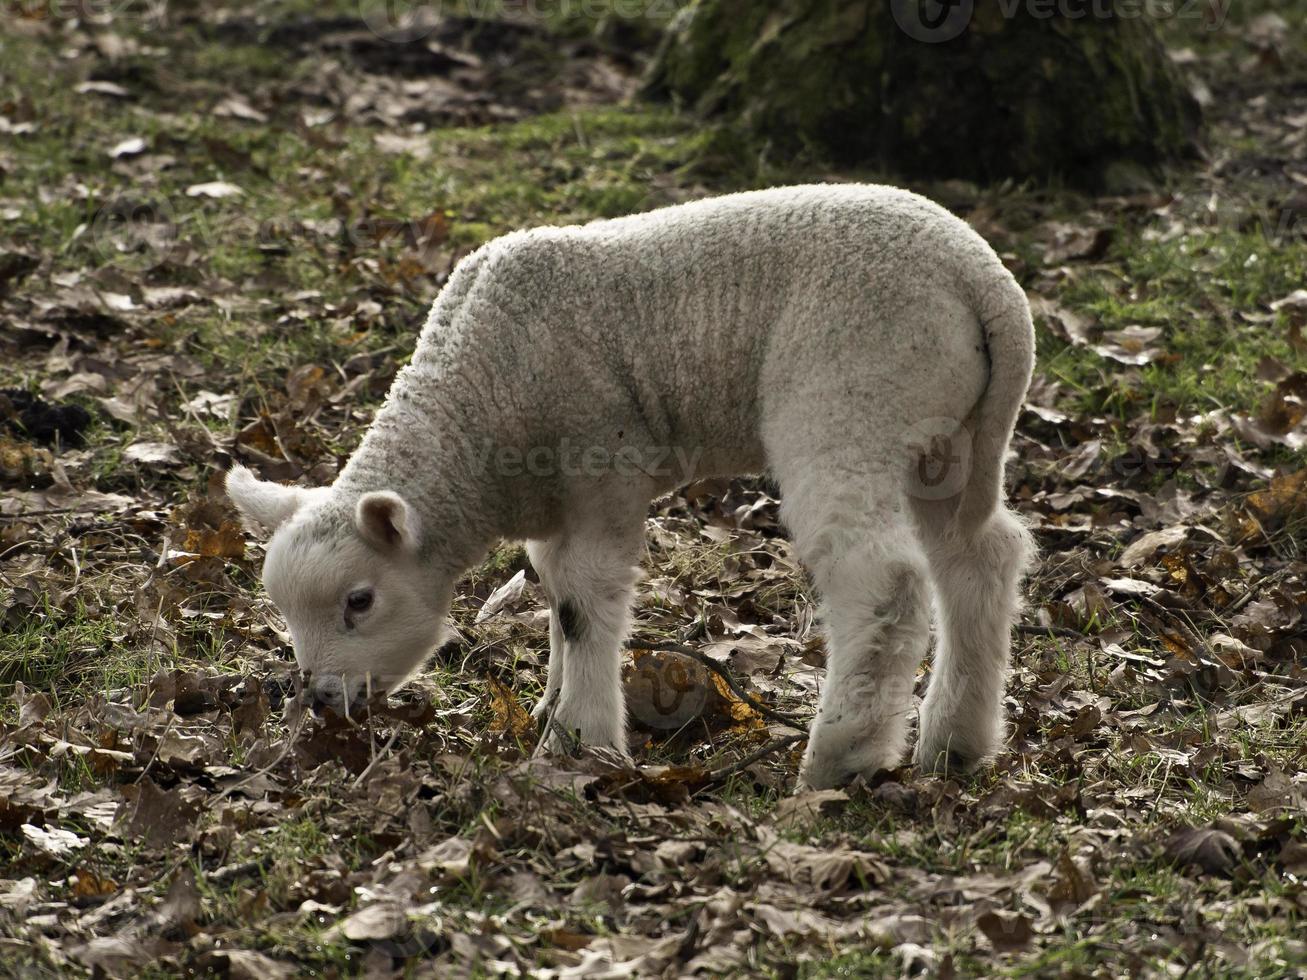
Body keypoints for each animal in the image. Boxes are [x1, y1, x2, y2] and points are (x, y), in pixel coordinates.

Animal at [230, 184, 1035, 794]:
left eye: (359, 602)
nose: (322, 703)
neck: (477, 406)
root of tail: (985, 281)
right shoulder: (554, 499)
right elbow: (554, 590)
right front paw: (552, 705)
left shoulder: (602, 466)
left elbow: (584, 602)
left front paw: (579, 744)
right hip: (946, 437)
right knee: (981, 556)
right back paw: (954, 742)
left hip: (852, 396)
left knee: (883, 579)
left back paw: (842, 753)